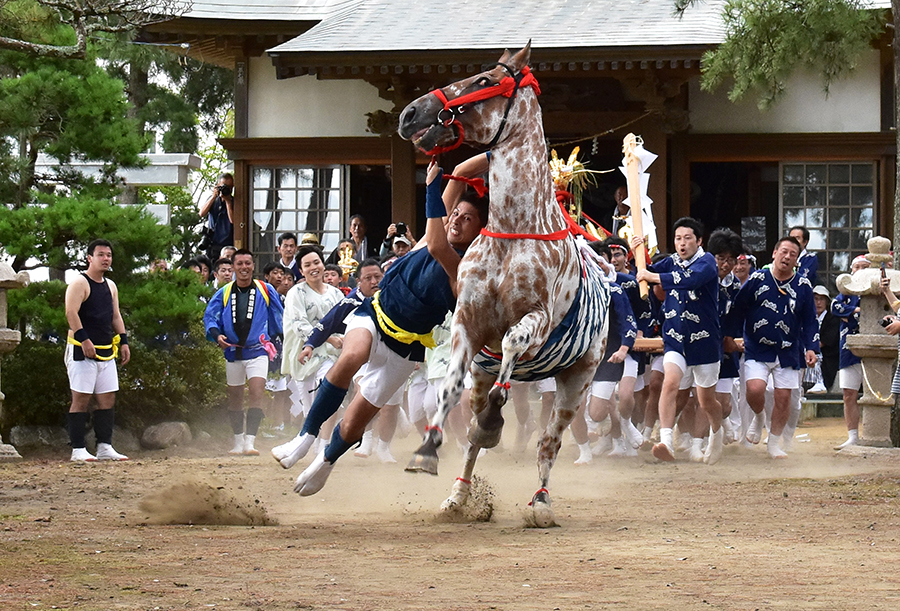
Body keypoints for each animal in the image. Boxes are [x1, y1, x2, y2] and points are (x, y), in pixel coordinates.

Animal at [400, 44, 612, 532]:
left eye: (483, 80)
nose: (409, 114)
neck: (516, 231)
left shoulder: (537, 322)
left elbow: (513, 344)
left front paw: (497, 411)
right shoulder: (468, 324)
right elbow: (452, 390)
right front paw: (427, 449)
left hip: (578, 378)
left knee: (550, 441)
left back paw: (541, 502)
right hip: (490, 373)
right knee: (475, 435)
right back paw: (459, 495)